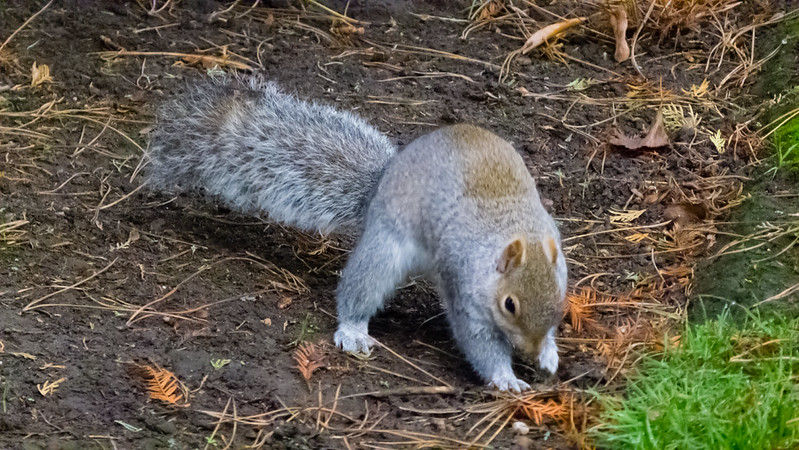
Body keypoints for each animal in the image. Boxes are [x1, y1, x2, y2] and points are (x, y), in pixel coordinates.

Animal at [147, 75, 568, 392]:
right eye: (509, 304)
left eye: (561, 300)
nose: (530, 350)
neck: (515, 229)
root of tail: (382, 179)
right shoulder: (464, 287)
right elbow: (478, 341)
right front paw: (505, 377)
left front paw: (549, 352)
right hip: (384, 249)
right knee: (360, 287)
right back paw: (352, 330)